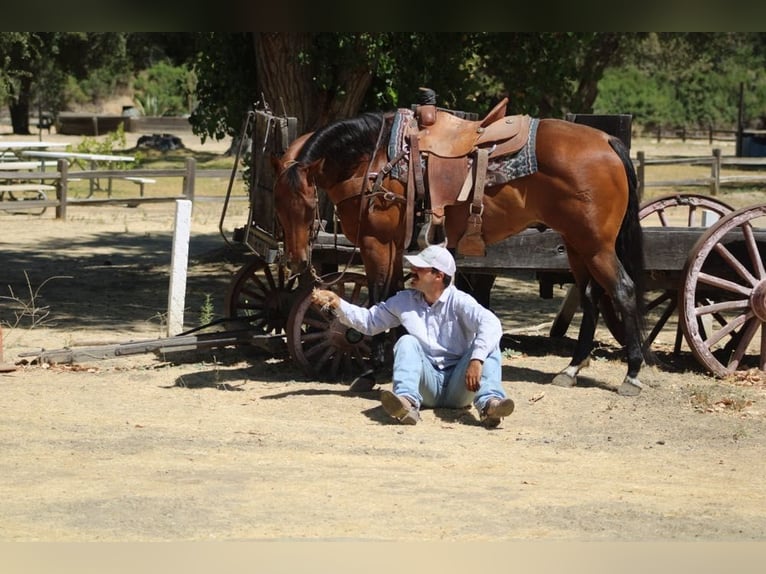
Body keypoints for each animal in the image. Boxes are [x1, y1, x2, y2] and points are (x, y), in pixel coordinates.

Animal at [272, 108, 644, 396]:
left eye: (308, 206)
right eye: (279, 205)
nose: (296, 261)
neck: (373, 160)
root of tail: (606, 141)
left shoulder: (376, 242)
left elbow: (379, 295)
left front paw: (371, 369)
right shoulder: (393, 245)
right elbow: (393, 296)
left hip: (596, 247)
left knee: (623, 291)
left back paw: (632, 373)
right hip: (577, 247)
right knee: (592, 296)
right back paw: (571, 369)